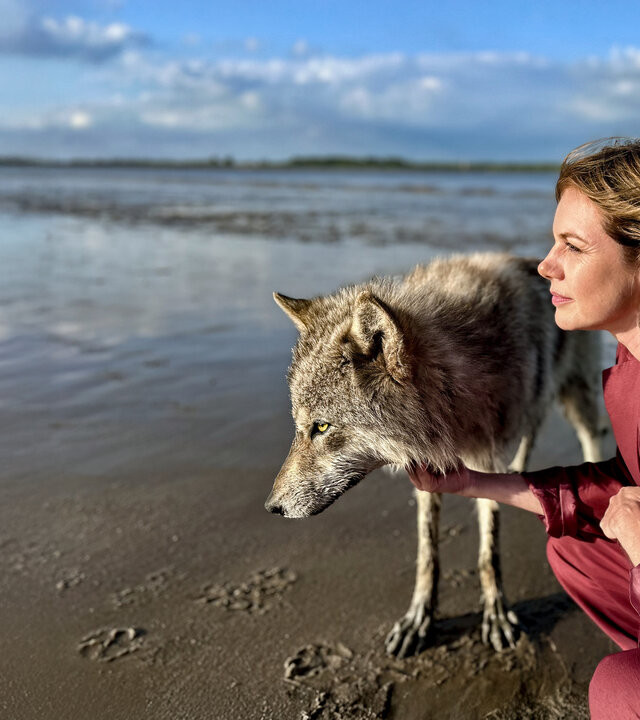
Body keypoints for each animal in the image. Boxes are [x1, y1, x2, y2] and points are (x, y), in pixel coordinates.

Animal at [265, 252, 602, 657]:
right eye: (301, 426)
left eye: (322, 427)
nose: (271, 507)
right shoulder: (430, 472)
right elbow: (428, 555)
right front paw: (419, 619)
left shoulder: (485, 460)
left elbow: (488, 553)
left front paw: (496, 614)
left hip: (578, 396)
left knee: (590, 437)